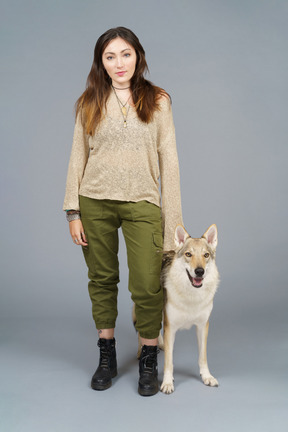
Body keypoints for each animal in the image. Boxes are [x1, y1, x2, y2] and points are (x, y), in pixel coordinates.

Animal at [161, 224, 219, 394]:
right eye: (188, 254)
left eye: (206, 255)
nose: (200, 271)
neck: (192, 296)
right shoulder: (170, 328)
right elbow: (169, 361)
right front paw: (167, 382)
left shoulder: (203, 326)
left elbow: (202, 357)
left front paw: (207, 377)